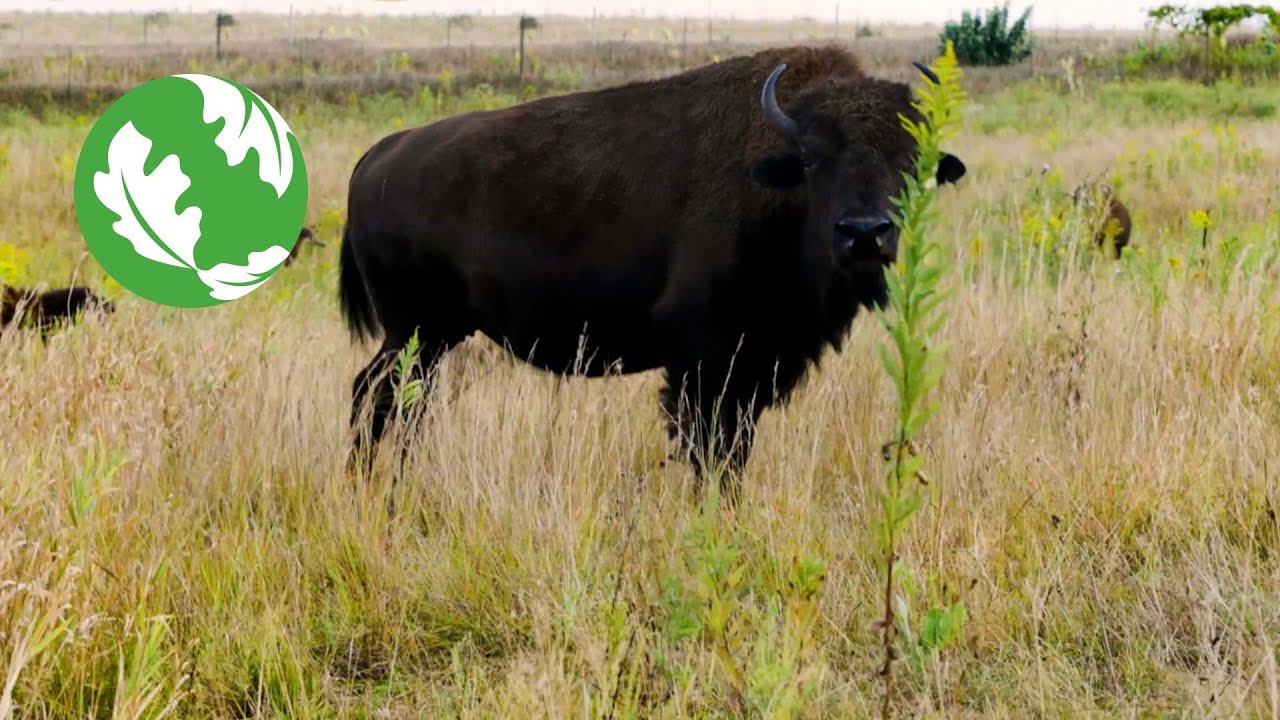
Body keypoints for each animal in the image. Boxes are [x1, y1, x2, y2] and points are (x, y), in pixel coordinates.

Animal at [337, 46, 967, 490]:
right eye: (812, 160)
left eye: (913, 161)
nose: (864, 234)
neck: (774, 180)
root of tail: (380, 154)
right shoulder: (703, 364)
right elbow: (710, 450)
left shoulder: (755, 367)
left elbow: (733, 448)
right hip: (414, 332)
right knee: (377, 397)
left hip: (431, 337)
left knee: (400, 403)